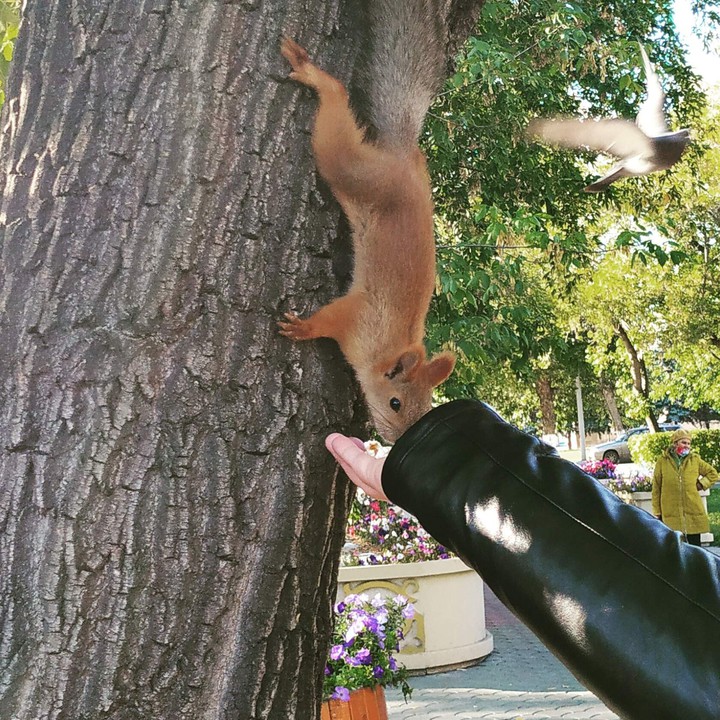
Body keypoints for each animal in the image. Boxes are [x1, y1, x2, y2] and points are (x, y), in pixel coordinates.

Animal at [279, 2, 455, 443]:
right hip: (352, 170)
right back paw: (318, 79)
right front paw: (302, 328)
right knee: (336, 119)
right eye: (395, 403)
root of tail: (402, 154)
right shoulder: (356, 316)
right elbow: (328, 318)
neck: (387, 345)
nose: (395, 440)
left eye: (426, 409)